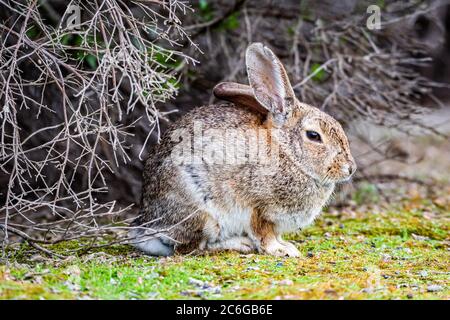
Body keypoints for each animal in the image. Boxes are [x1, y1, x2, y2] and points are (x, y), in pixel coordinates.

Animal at [129, 42, 356, 258]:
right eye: (314, 136)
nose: (350, 168)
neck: (287, 153)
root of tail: (148, 227)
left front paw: (286, 245)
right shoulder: (256, 207)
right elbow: (263, 233)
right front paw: (281, 250)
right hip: (202, 214)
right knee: (193, 247)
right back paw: (239, 244)